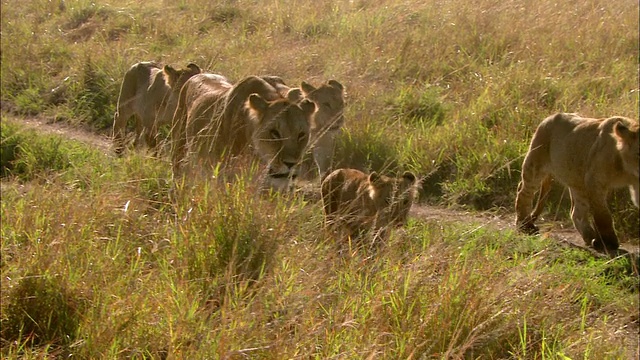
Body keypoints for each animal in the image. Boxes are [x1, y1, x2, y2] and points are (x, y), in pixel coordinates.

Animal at [516, 114, 640, 252]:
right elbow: (603, 215)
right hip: (535, 164)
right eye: (639, 154)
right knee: (523, 192)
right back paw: (525, 225)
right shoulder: (594, 180)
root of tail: (549, 117)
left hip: (576, 180)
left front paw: (600, 240)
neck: (627, 170)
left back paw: (590, 237)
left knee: (576, 212)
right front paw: (608, 242)